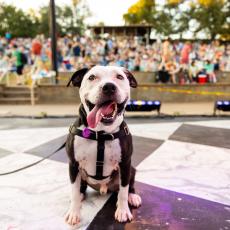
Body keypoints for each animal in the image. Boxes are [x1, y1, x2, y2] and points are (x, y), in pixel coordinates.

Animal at [63, 65, 141, 226]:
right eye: (92, 77)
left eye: (119, 77)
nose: (109, 87)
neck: (100, 132)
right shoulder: (73, 164)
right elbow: (74, 190)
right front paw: (74, 212)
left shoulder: (125, 163)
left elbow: (123, 191)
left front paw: (123, 210)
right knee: (79, 188)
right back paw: (80, 196)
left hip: (132, 169)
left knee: (128, 186)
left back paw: (132, 196)